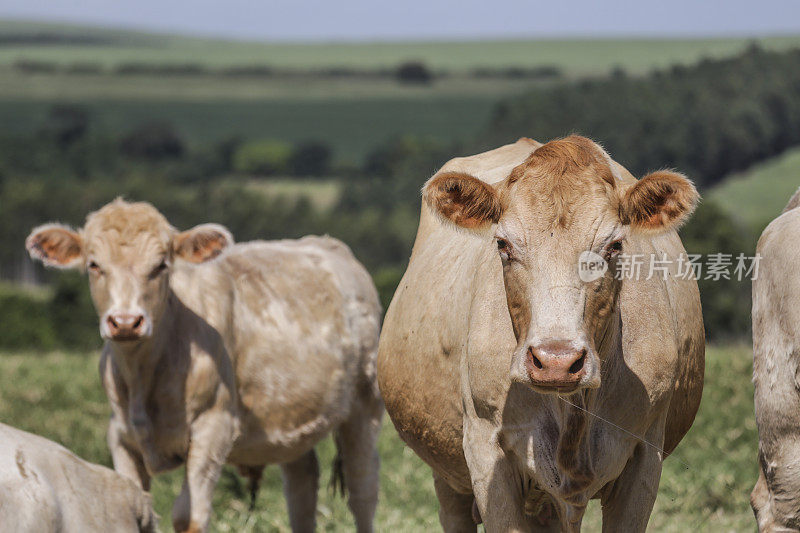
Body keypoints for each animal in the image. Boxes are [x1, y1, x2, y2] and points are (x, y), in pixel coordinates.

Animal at [26, 201, 382, 532]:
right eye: (94, 265)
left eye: (161, 265)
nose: (126, 322)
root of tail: (328, 244)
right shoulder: (121, 435)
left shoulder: (214, 427)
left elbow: (188, 515)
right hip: (291, 421)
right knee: (302, 489)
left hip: (365, 403)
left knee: (363, 490)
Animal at [378, 135, 704, 528]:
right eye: (503, 244)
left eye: (614, 245)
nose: (556, 361)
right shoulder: (487, 455)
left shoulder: (645, 457)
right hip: (448, 476)